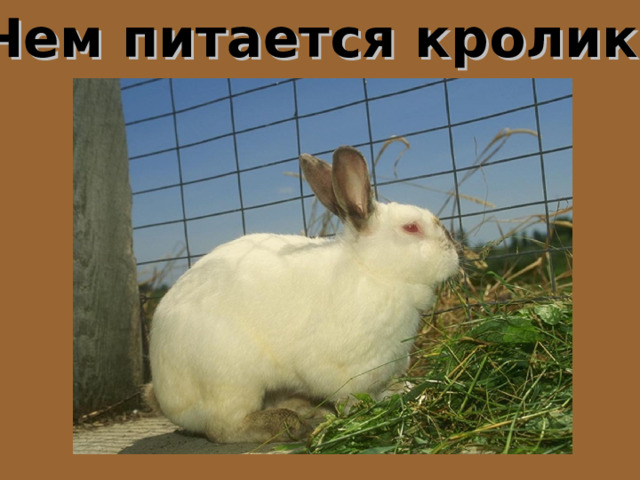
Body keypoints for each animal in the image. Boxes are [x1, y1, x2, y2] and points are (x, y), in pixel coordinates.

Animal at [145, 145, 460, 444]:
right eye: (411, 228)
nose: (455, 253)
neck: (373, 270)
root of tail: (163, 392)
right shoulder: (343, 372)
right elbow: (351, 399)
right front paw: (372, 408)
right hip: (230, 382)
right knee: (224, 428)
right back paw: (286, 425)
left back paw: (309, 412)